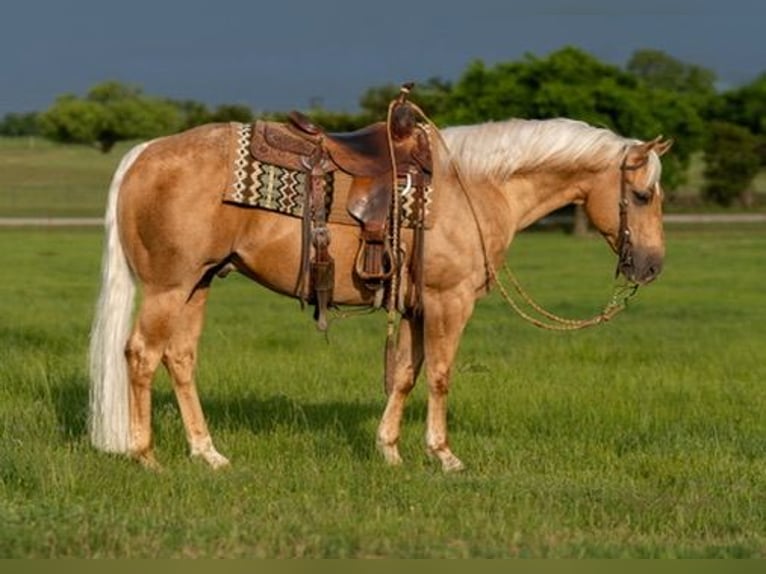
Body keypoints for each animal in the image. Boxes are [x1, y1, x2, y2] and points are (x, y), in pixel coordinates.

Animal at [88, 114, 672, 472]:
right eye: (643, 195)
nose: (651, 266)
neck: (477, 185)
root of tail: (145, 153)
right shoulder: (448, 300)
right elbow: (440, 375)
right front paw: (444, 455)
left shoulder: (414, 306)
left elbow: (407, 374)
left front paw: (389, 451)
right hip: (169, 287)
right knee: (141, 355)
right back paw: (145, 456)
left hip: (200, 283)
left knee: (180, 359)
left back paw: (208, 455)